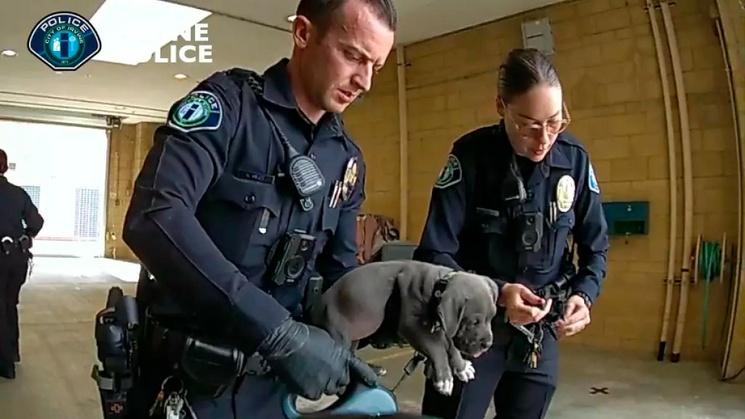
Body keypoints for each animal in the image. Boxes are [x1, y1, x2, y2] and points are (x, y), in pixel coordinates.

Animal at [314, 260, 500, 396]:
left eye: (492, 317)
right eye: (474, 322)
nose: (488, 344)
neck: (438, 287)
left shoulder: (444, 326)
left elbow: (451, 345)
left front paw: (462, 367)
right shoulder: (411, 327)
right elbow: (437, 349)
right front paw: (444, 378)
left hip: (357, 334)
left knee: (352, 353)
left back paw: (371, 369)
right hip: (339, 331)